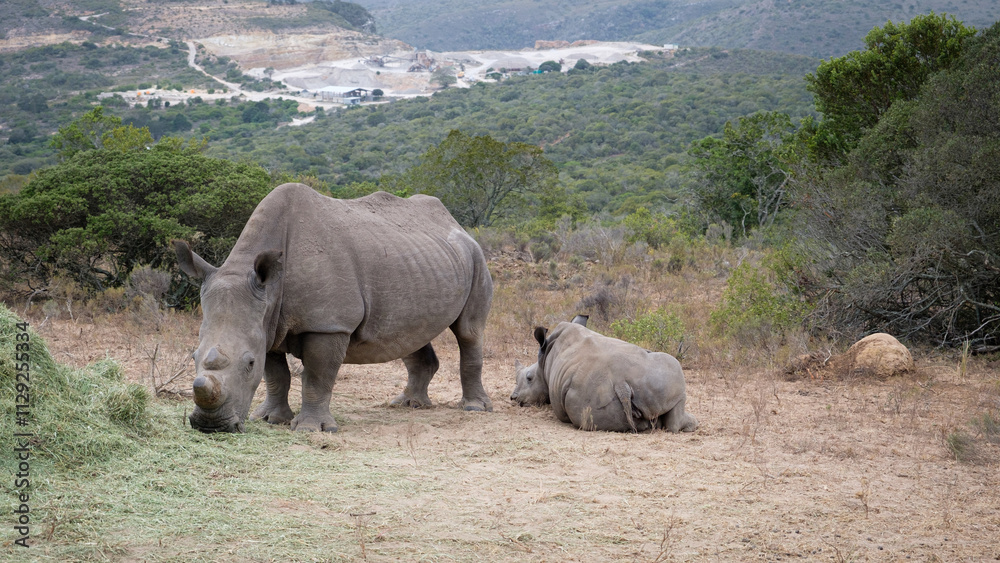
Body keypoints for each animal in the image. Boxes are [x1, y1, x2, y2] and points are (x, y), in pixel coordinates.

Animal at [174, 183, 494, 433]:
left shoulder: (328, 324)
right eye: (193, 357)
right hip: (420, 263)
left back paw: (475, 409)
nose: (210, 427)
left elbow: (317, 375)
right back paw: (408, 404)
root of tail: (455, 224)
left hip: (477, 258)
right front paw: (270, 419)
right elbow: (276, 375)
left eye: (249, 362)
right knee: (409, 334)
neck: (269, 288)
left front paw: (311, 429)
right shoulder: (268, 321)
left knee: (468, 331)